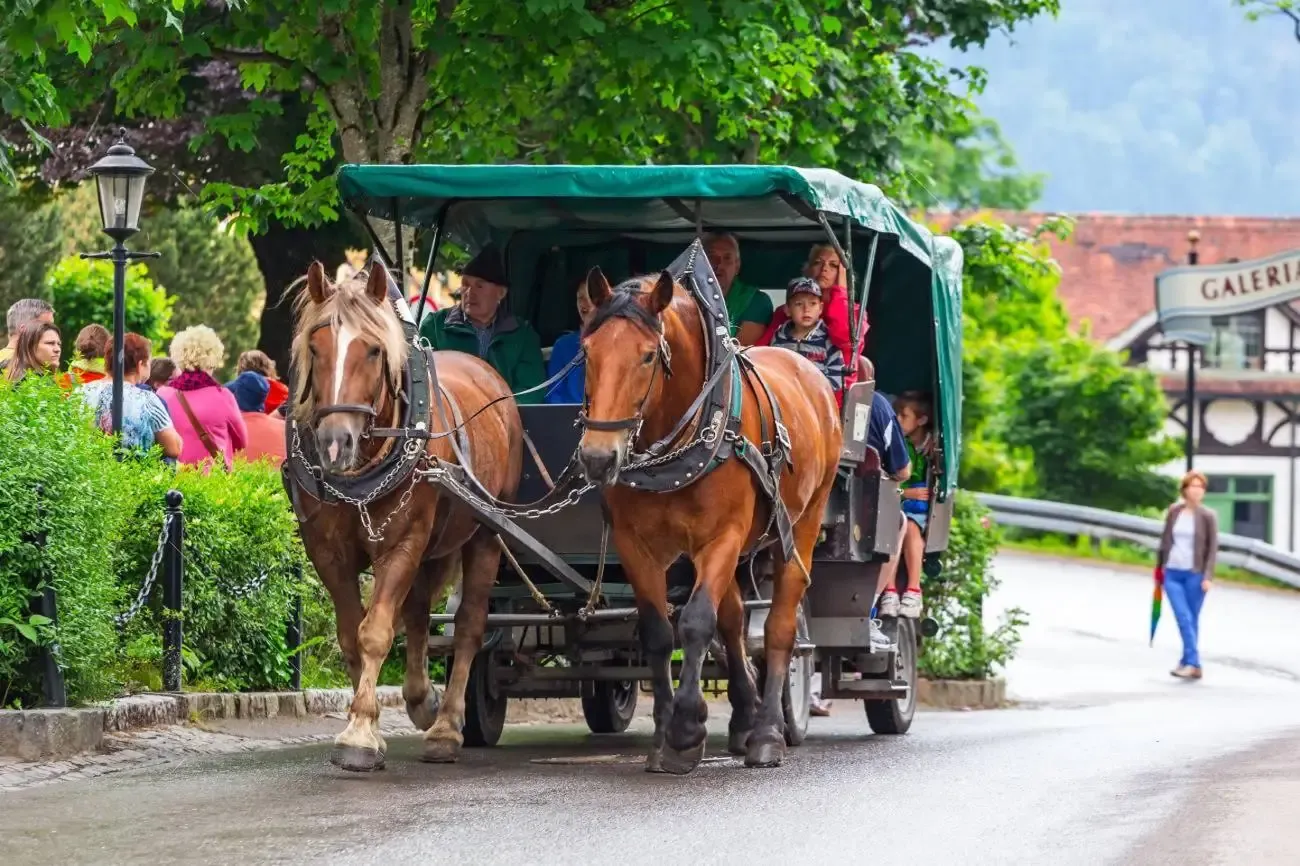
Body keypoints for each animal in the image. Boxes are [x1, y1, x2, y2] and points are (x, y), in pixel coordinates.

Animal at [288, 262, 523, 771]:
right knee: (417, 614)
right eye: (315, 347)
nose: (334, 443)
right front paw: (370, 724)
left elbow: (375, 631)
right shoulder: (328, 554)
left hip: (485, 534)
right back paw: (421, 699)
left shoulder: (402, 544)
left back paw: (447, 726)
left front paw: (358, 735)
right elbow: (351, 635)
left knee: (469, 627)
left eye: (374, 349)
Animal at [577, 267, 842, 772]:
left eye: (647, 356)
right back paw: (743, 718)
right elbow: (659, 632)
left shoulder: (722, 536)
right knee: (735, 621)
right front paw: (664, 733)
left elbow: (697, 621)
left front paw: (686, 731)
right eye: (587, 352)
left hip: (802, 522)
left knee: (778, 624)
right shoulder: (634, 545)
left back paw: (766, 733)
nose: (598, 458)